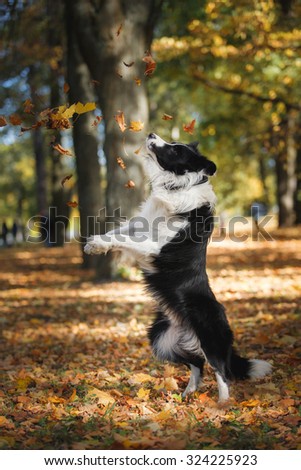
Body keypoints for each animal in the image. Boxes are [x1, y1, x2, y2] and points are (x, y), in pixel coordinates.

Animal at [83, 134, 270, 402]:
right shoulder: (141, 225)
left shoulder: (156, 247)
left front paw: (97, 243)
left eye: (175, 150)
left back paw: (222, 403)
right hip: (161, 339)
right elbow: (118, 232)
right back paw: (187, 394)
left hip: (208, 337)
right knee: (197, 364)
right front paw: (95, 244)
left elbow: (125, 238)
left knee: (221, 370)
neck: (178, 186)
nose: (151, 134)